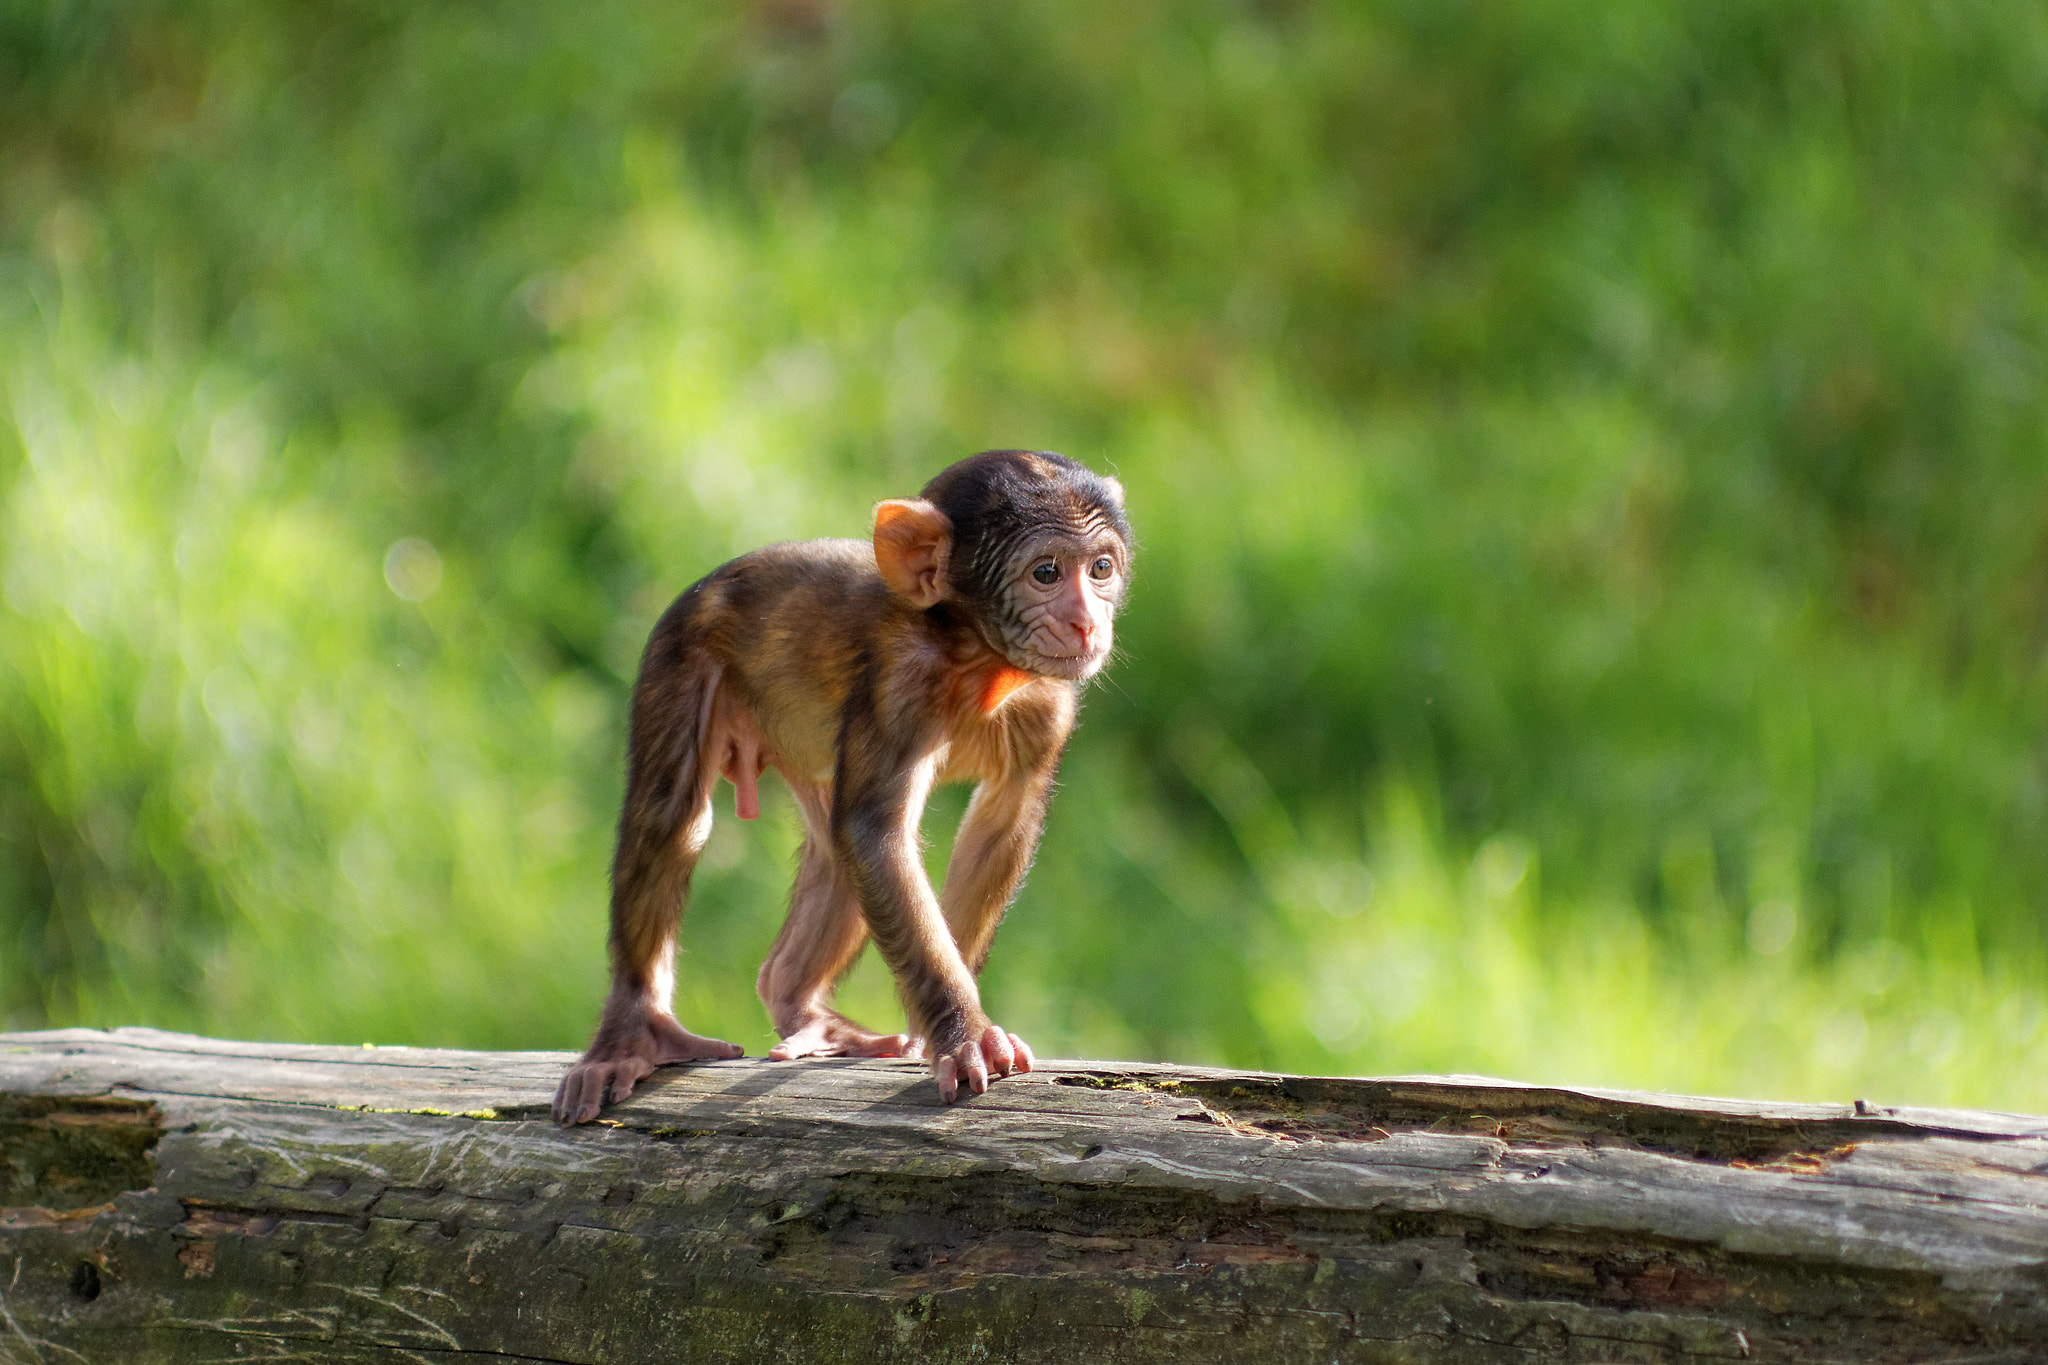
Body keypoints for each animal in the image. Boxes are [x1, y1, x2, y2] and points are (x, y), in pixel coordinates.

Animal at [557, 448, 1138, 1121]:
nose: (1087, 621)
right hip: (680, 653)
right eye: (1047, 572)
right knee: (672, 817)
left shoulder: (1049, 703)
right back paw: (635, 1028)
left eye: (1100, 569)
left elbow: (1001, 819)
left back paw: (799, 1004)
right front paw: (962, 1031)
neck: (972, 655)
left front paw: (938, 1030)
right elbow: (874, 834)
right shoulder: (898, 685)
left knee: (834, 854)